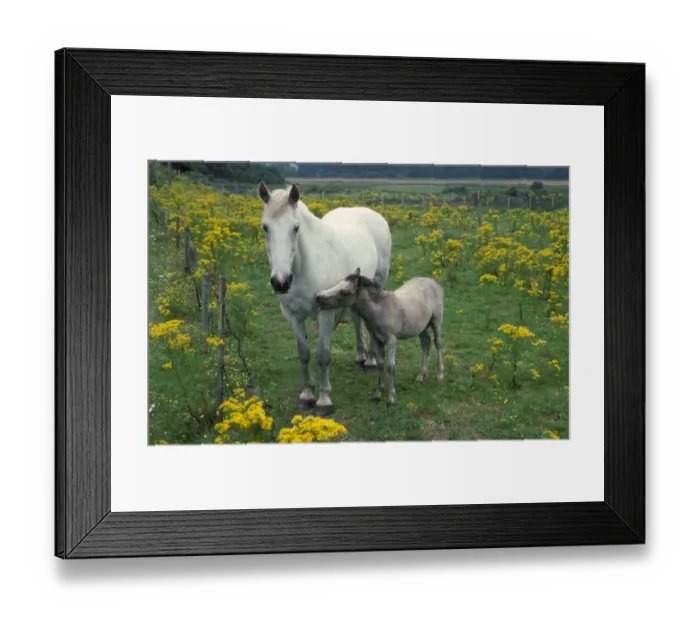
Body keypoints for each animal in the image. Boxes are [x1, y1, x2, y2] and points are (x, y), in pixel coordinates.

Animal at [258, 183, 392, 415]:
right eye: (265, 227)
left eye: (295, 228)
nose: (281, 282)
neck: (305, 267)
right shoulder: (293, 316)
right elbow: (304, 353)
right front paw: (307, 395)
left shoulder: (325, 312)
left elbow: (323, 354)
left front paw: (323, 400)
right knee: (357, 320)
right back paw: (362, 357)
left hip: (378, 281)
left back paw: (372, 361)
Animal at [316, 269, 445, 406]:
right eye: (338, 283)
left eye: (345, 292)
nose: (318, 297)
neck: (380, 310)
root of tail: (433, 281)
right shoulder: (377, 340)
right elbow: (380, 364)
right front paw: (378, 393)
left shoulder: (392, 340)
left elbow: (391, 367)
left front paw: (391, 397)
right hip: (421, 327)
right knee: (426, 343)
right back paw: (421, 376)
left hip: (436, 322)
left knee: (437, 343)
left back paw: (440, 374)